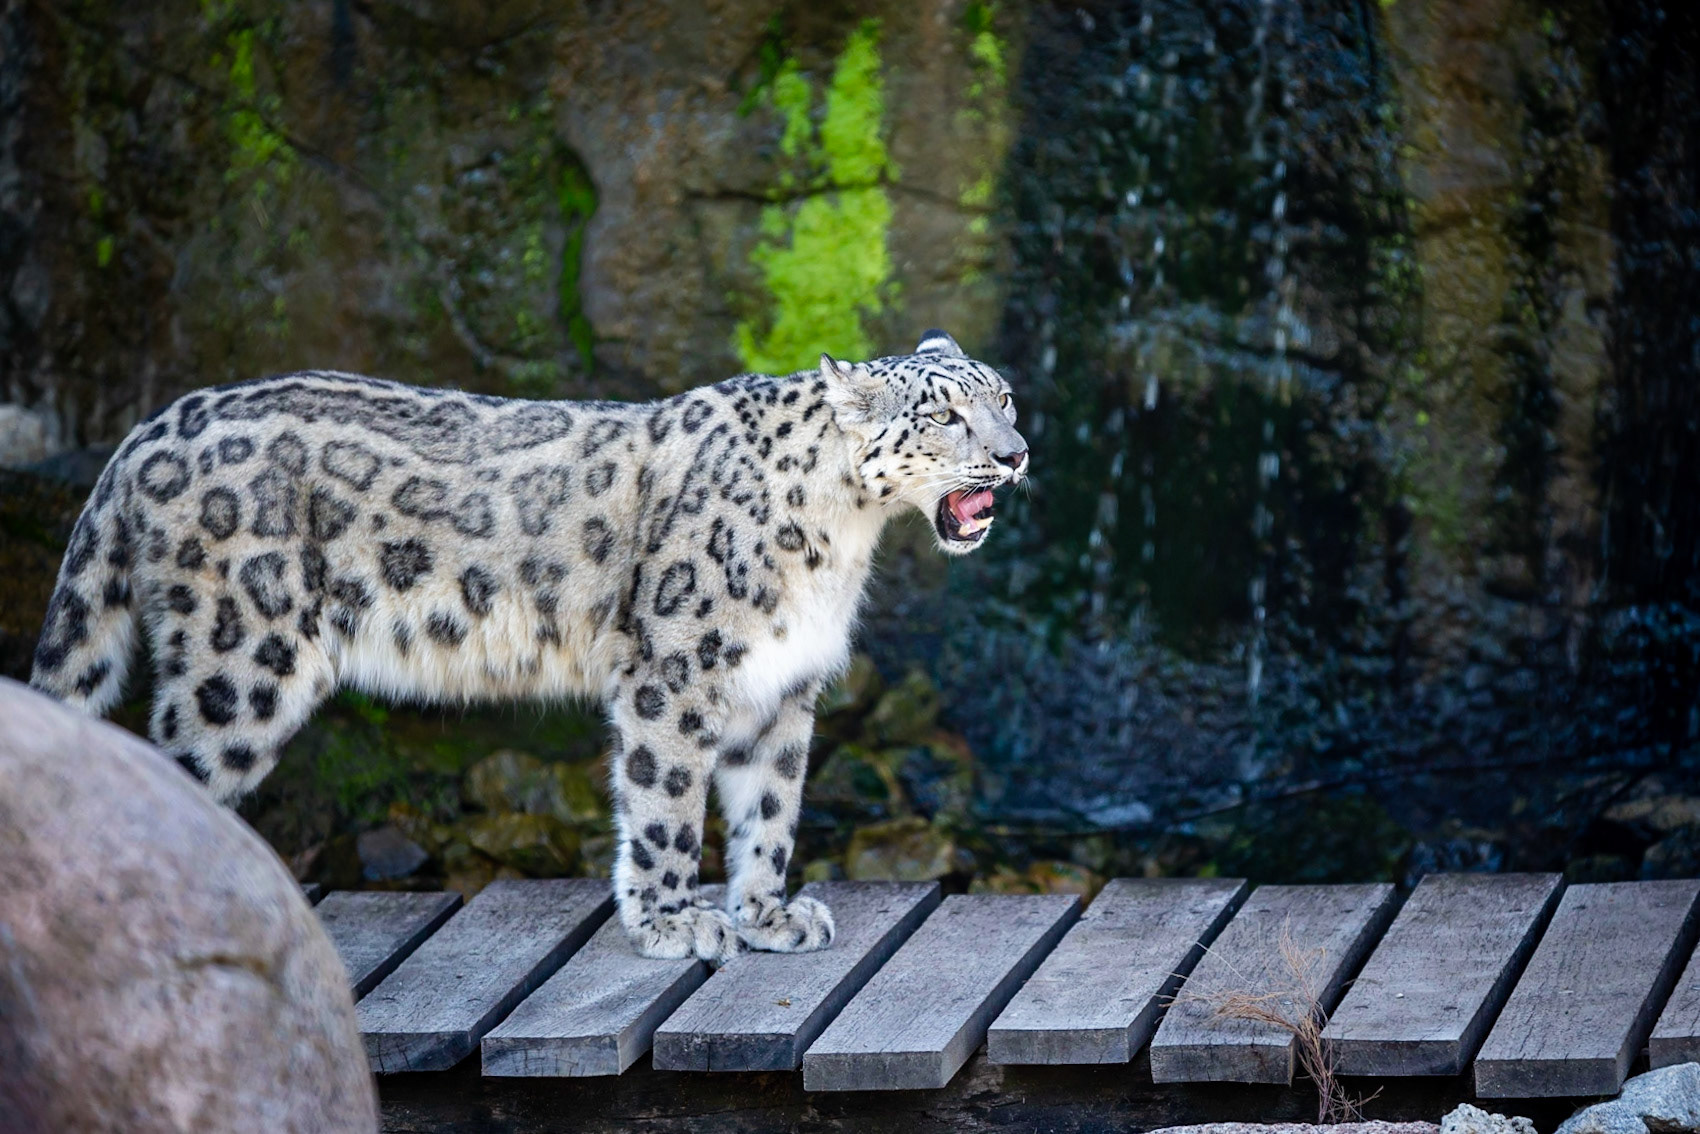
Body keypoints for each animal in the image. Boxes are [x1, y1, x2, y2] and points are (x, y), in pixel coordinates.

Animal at [29, 330, 1029, 963]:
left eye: (1006, 396)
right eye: (944, 416)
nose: (1017, 453)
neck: (841, 539)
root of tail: (148, 430)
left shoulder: (782, 689)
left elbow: (769, 812)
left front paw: (768, 917)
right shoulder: (677, 672)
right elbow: (666, 806)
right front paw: (673, 925)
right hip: (239, 669)